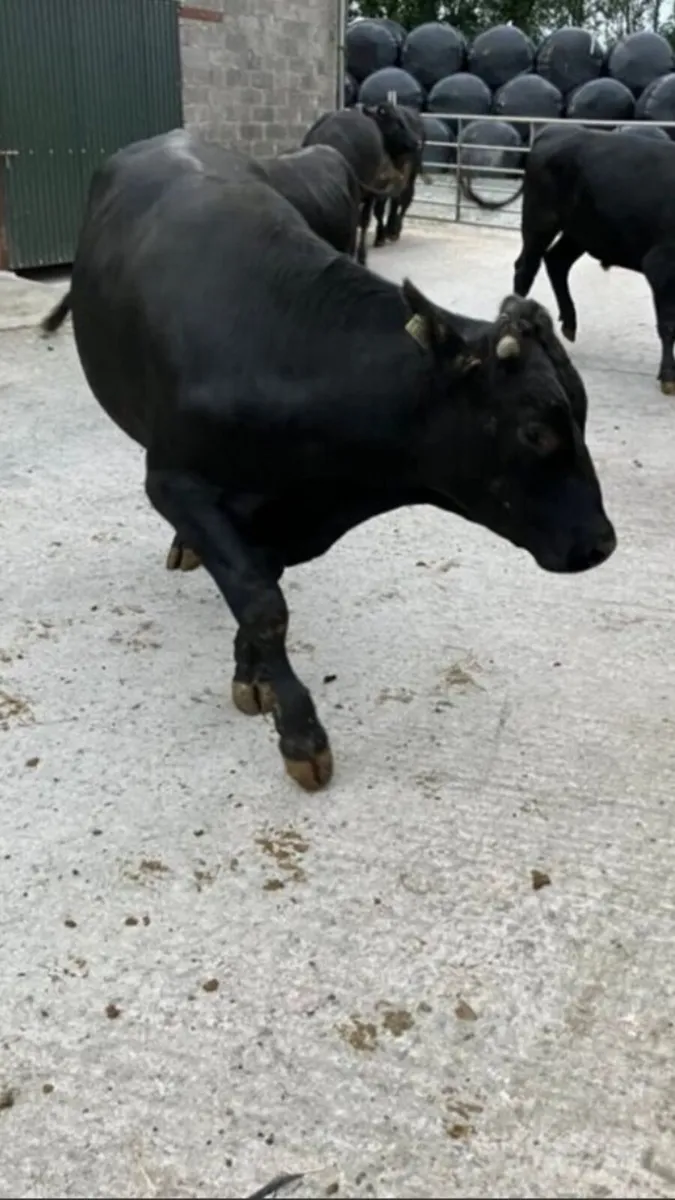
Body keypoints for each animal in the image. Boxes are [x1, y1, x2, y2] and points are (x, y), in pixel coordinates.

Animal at [41, 128, 616, 792]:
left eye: (582, 413)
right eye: (534, 431)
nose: (602, 543)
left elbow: (260, 590)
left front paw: (251, 676)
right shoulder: (174, 480)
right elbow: (263, 603)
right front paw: (300, 733)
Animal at [302, 103, 421, 265]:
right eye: (397, 122)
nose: (417, 142)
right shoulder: (372, 189)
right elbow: (366, 219)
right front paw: (363, 255)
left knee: (402, 199)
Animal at [513, 123, 675, 395]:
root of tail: (556, 129)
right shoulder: (660, 264)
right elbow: (668, 323)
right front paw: (668, 375)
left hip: (582, 232)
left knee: (556, 261)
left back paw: (569, 322)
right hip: (540, 221)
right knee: (525, 268)